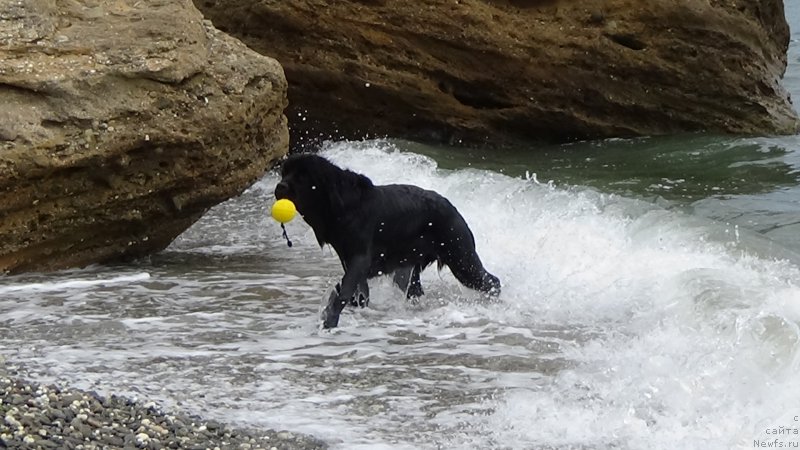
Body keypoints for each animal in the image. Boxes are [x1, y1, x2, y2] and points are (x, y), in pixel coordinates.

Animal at [276, 154, 500, 326]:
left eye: (302, 176)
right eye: (284, 173)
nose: (279, 187)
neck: (341, 205)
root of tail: (454, 208)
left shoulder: (360, 258)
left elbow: (344, 292)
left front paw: (330, 319)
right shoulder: (349, 260)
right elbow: (356, 293)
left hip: (461, 257)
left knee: (493, 282)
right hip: (413, 268)